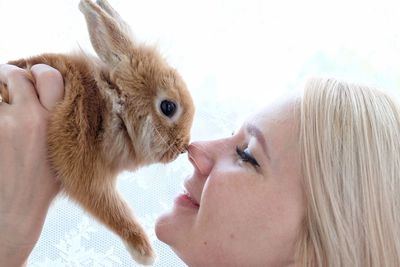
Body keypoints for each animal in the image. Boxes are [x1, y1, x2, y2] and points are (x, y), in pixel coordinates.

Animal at [0, 0, 194, 264]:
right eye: (168, 107)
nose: (183, 147)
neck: (109, 103)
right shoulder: (82, 162)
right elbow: (110, 206)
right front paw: (144, 252)